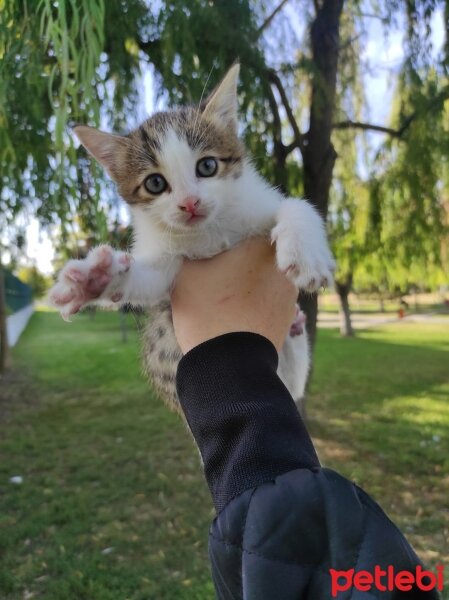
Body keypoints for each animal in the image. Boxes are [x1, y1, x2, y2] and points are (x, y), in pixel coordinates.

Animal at [50, 65, 334, 412]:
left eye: (207, 165)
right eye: (155, 183)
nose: (190, 203)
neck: (208, 234)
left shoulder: (257, 205)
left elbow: (296, 205)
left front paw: (308, 255)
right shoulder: (167, 269)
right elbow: (144, 278)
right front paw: (94, 278)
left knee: (293, 384)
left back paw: (295, 330)